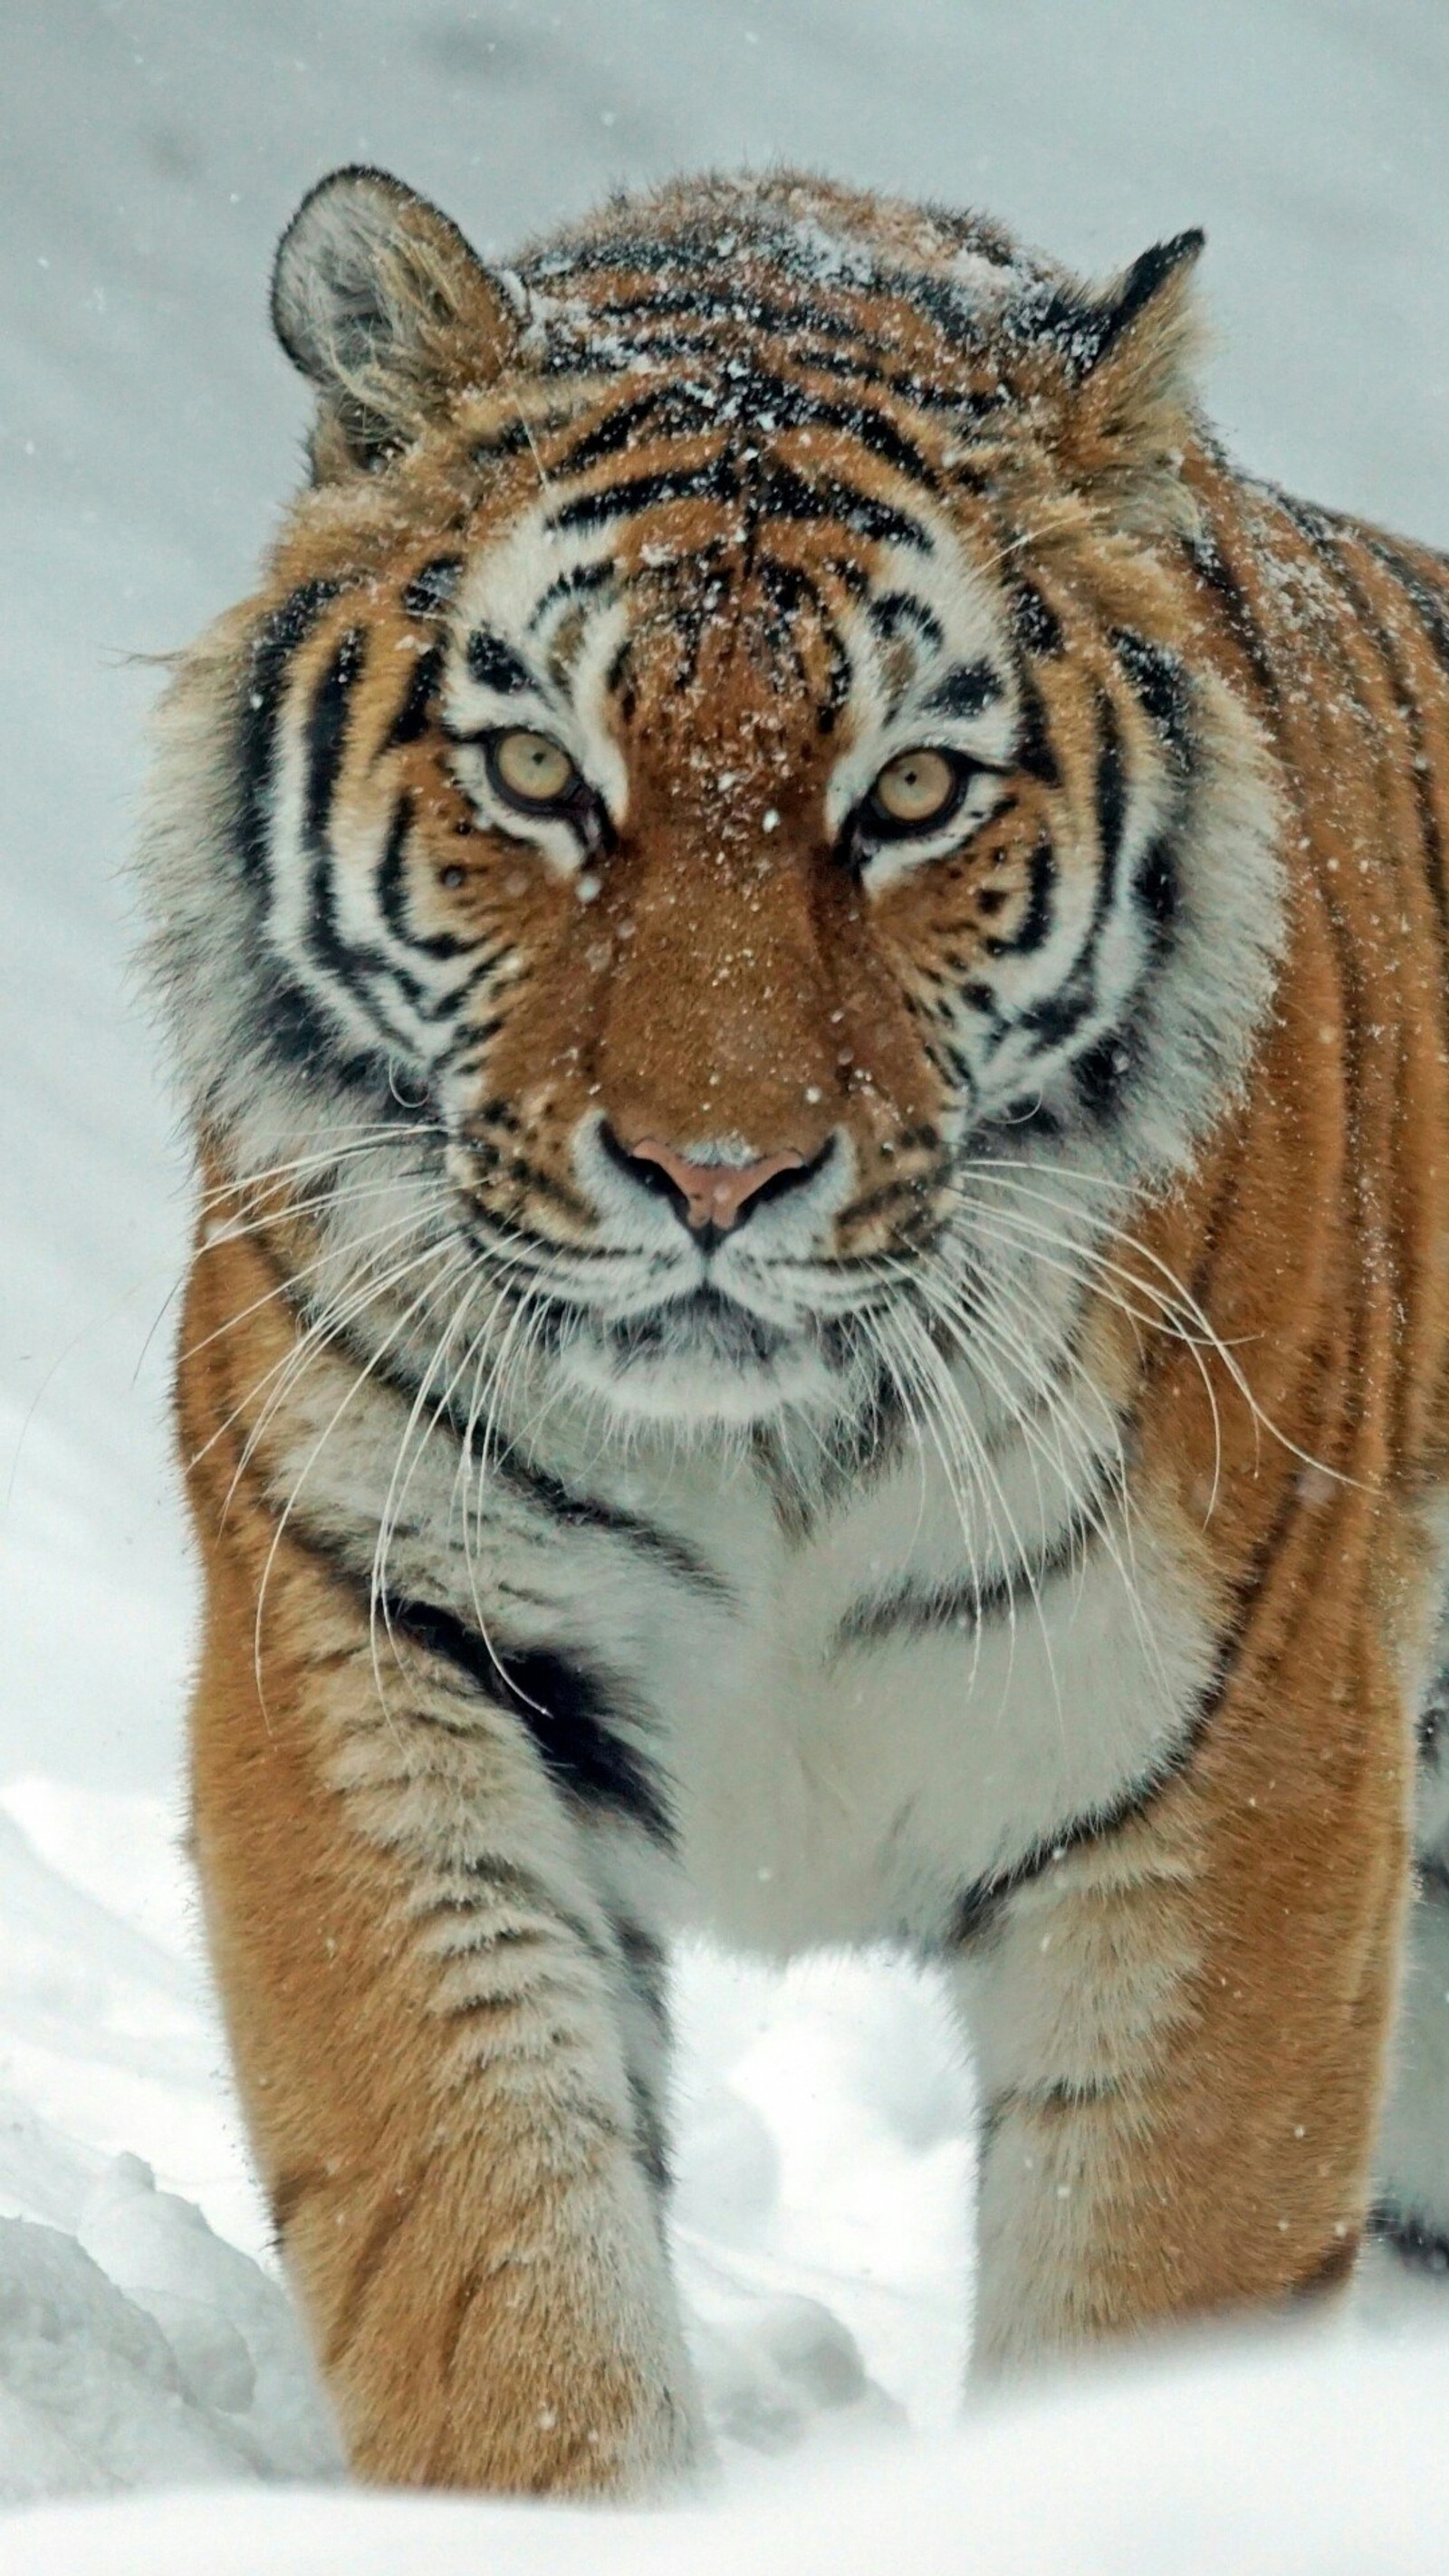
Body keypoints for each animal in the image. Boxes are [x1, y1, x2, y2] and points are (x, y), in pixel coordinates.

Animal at [139, 166, 1449, 2493]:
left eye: (911, 794)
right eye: (536, 774)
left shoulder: (1245, 1783)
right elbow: (490, 2266)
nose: (717, 1176)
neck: (767, 1455)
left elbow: (1146, 2311)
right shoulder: (373, 1651)